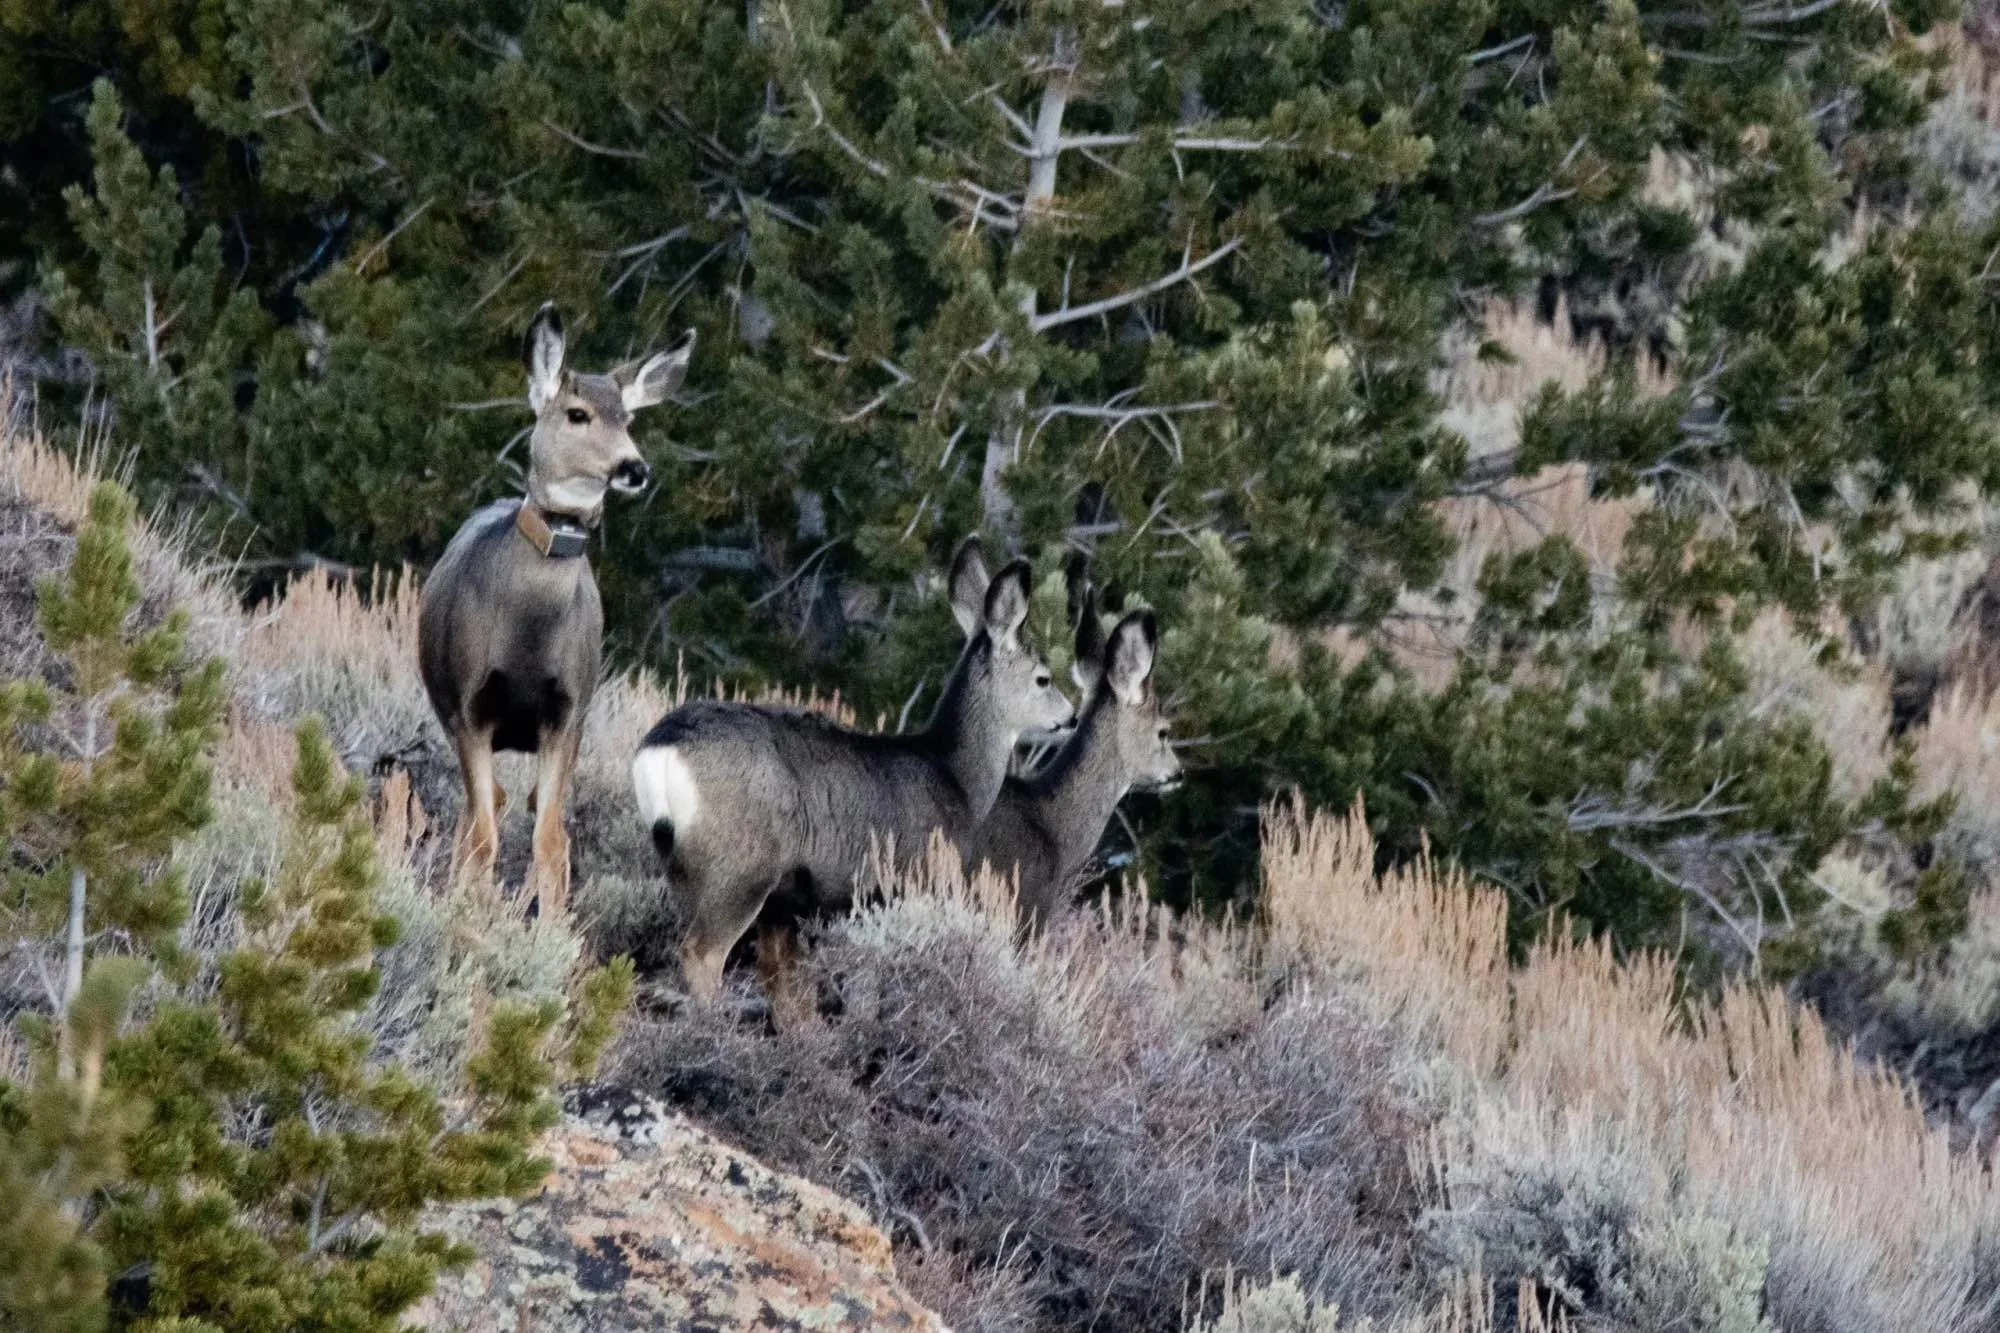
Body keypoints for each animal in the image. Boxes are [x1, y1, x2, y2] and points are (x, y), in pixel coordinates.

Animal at [419, 301, 694, 915]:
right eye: (577, 414)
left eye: (628, 419)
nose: (634, 467)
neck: (527, 637)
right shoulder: (471, 708)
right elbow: (484, 832)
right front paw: (474, 917)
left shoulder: (569, 711)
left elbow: (549, 836)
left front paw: (550, 926)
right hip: (446, 709)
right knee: (482, 811)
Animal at [629, 537, 1077, 1007]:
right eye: (1044, 678)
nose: (1071, 717)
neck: (955, 778)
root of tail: (660, 750)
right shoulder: (910, 879)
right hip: (742, 866)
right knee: (702, 952)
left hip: (684, 866)